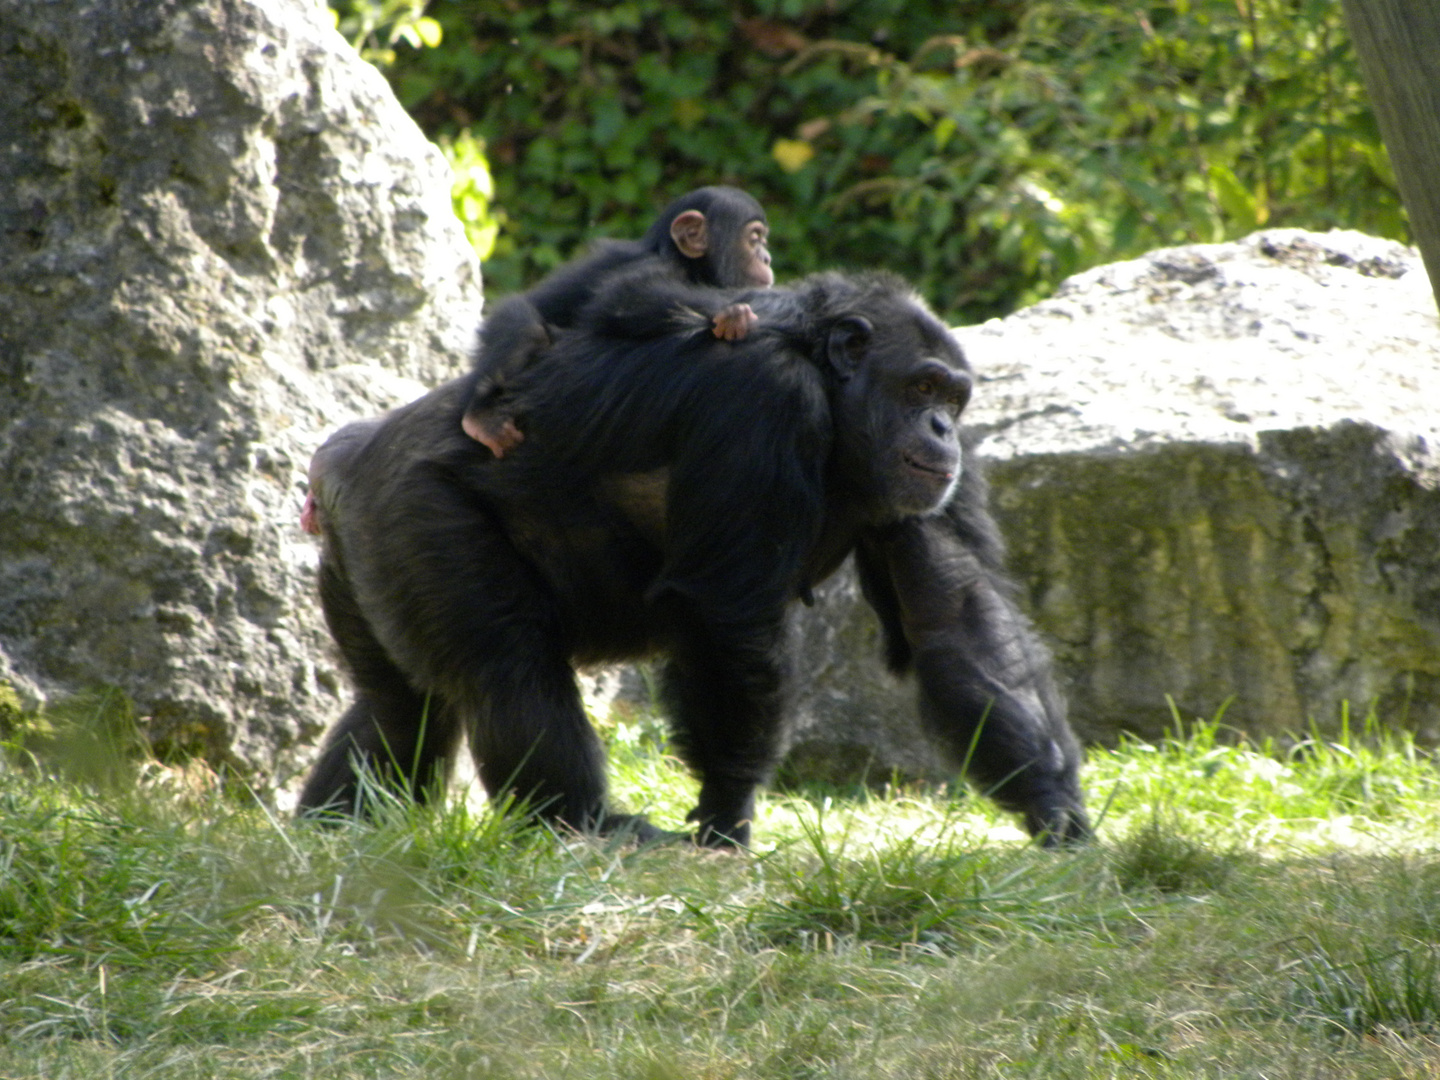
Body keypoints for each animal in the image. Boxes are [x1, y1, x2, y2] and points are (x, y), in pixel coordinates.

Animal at [298, 270, 1082, 846]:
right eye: (918, 386)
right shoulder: (763, 399)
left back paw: (335, 824)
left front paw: (1057, 810)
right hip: (419, 512)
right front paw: (726, 810)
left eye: (952, 393)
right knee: (508, 667)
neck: (828, 394)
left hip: (366, 554)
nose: (942, 426)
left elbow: (952, 612)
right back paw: (583, 821)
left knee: (399, 707)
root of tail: (336, 467)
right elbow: (726, 613)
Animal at [463, 185, 777, 457]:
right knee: (526, 329)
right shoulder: (657, 267)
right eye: (754, 239)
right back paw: (481, 418)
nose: (767, 258)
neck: (687, 262)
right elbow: (624, 294)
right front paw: (732, 312)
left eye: (764, 241)